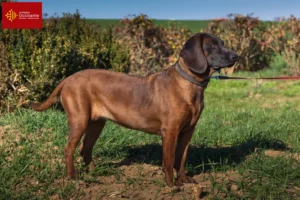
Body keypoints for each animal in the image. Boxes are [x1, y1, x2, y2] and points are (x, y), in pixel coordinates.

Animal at [30, 32, 237, 188]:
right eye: (213, 46)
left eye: (223, 43)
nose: (236, 56)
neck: (189, 84)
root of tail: (68, 79)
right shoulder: (170, 131)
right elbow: (169, 160)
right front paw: (171, 185)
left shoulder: (188, 131)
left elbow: (182, 158)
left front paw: (184, 180)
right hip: (79, 120)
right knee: (69, 149)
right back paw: (73, 177)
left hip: (96, 123)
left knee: (85, 149)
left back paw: (95, 172)